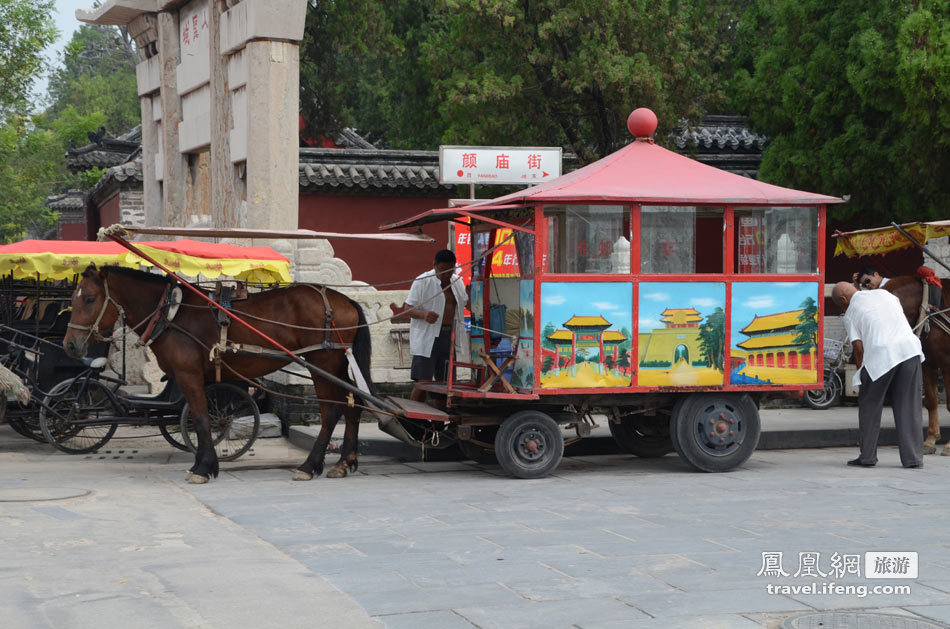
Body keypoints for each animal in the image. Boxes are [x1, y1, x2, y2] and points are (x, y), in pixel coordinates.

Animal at [62, 264, 376, 480]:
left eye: (89, 299)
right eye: (73, 299)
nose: (70, 344)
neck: (171, 313)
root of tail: (345, 300)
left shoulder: (188, 374)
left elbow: (201, 419)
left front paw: (204, 467)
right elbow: (200, 419)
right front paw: (203, 462)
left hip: (322, 361)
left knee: (331, 411)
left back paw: (310, 465)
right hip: (338, 363)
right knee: (354, 404)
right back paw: (344, 462)